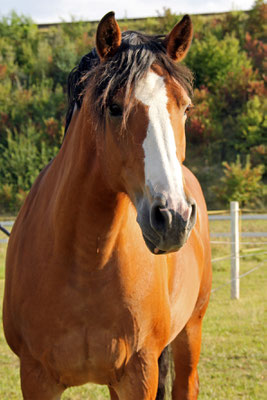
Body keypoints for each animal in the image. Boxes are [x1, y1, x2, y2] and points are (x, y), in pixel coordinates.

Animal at [2, 11, 211, 400]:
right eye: (115, 107)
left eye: (186, 108)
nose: (173, 217)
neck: (86, 263)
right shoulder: (36, 377)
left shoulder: (139, 374)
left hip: (190, 331)